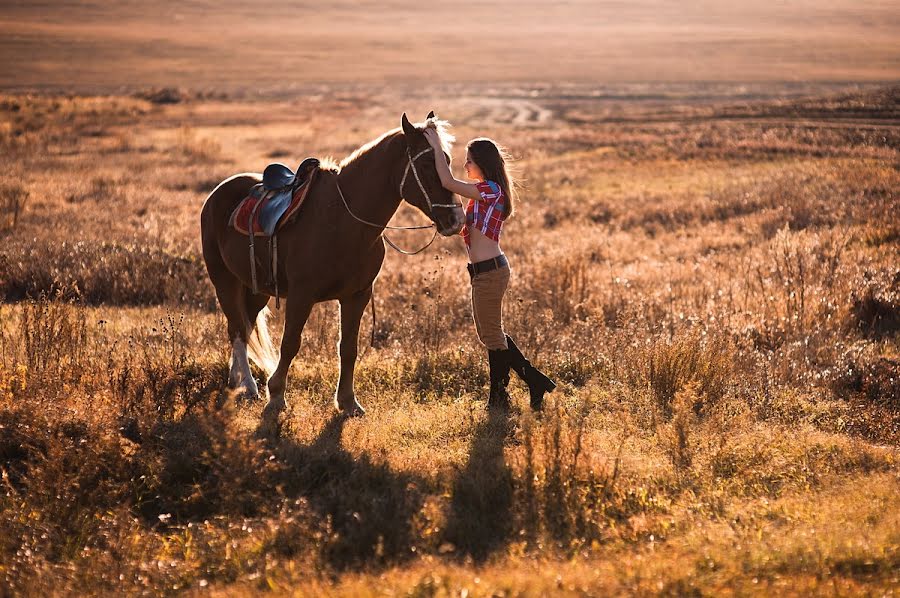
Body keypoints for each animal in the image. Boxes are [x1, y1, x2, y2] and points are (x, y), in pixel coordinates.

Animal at [200, 113, 460, 422]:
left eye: (446, 159)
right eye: (426, 163)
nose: (456, 219)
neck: (343, 219)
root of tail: (218, 192)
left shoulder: (356, 296)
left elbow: (348, 348)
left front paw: (348, 402)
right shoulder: (301, 295)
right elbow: (291, 343)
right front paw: (276, 397)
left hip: (256, 289)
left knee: (242, 326)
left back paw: (237, 382)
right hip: (224, 281)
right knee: (239, 329)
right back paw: (250, 387)